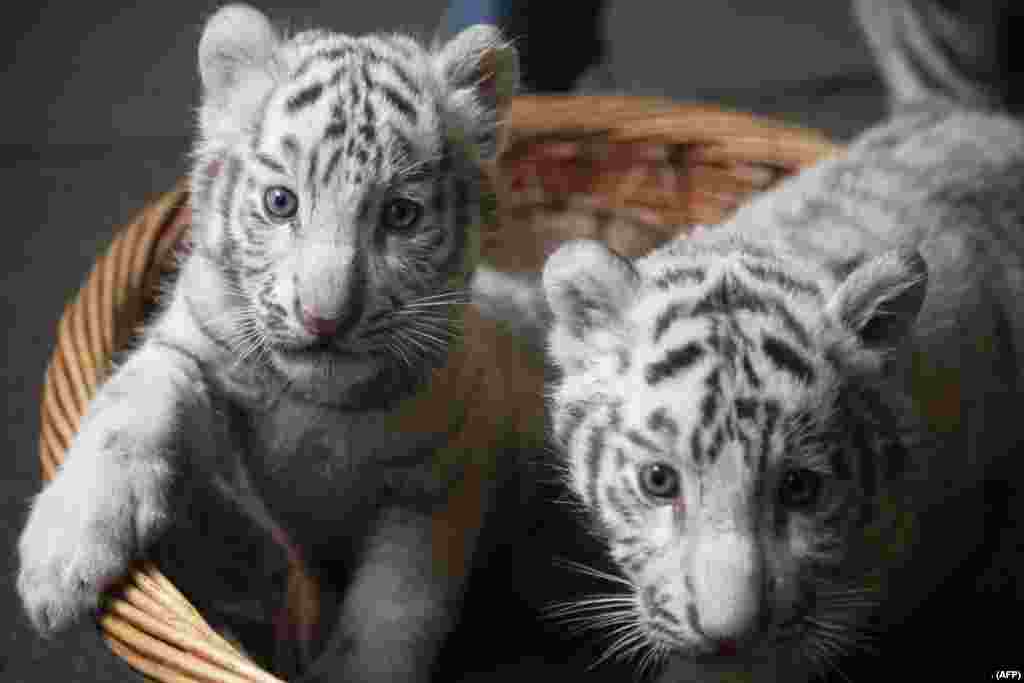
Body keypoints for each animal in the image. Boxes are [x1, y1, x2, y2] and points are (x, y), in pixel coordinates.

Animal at [16, 4, 546, 681]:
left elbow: (394, 613)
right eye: (280, 203)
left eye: (400, 215)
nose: (325, 319)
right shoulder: (194, 346)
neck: (322, 407)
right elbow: (130, 402)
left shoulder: (440, 485)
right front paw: (63, 558)